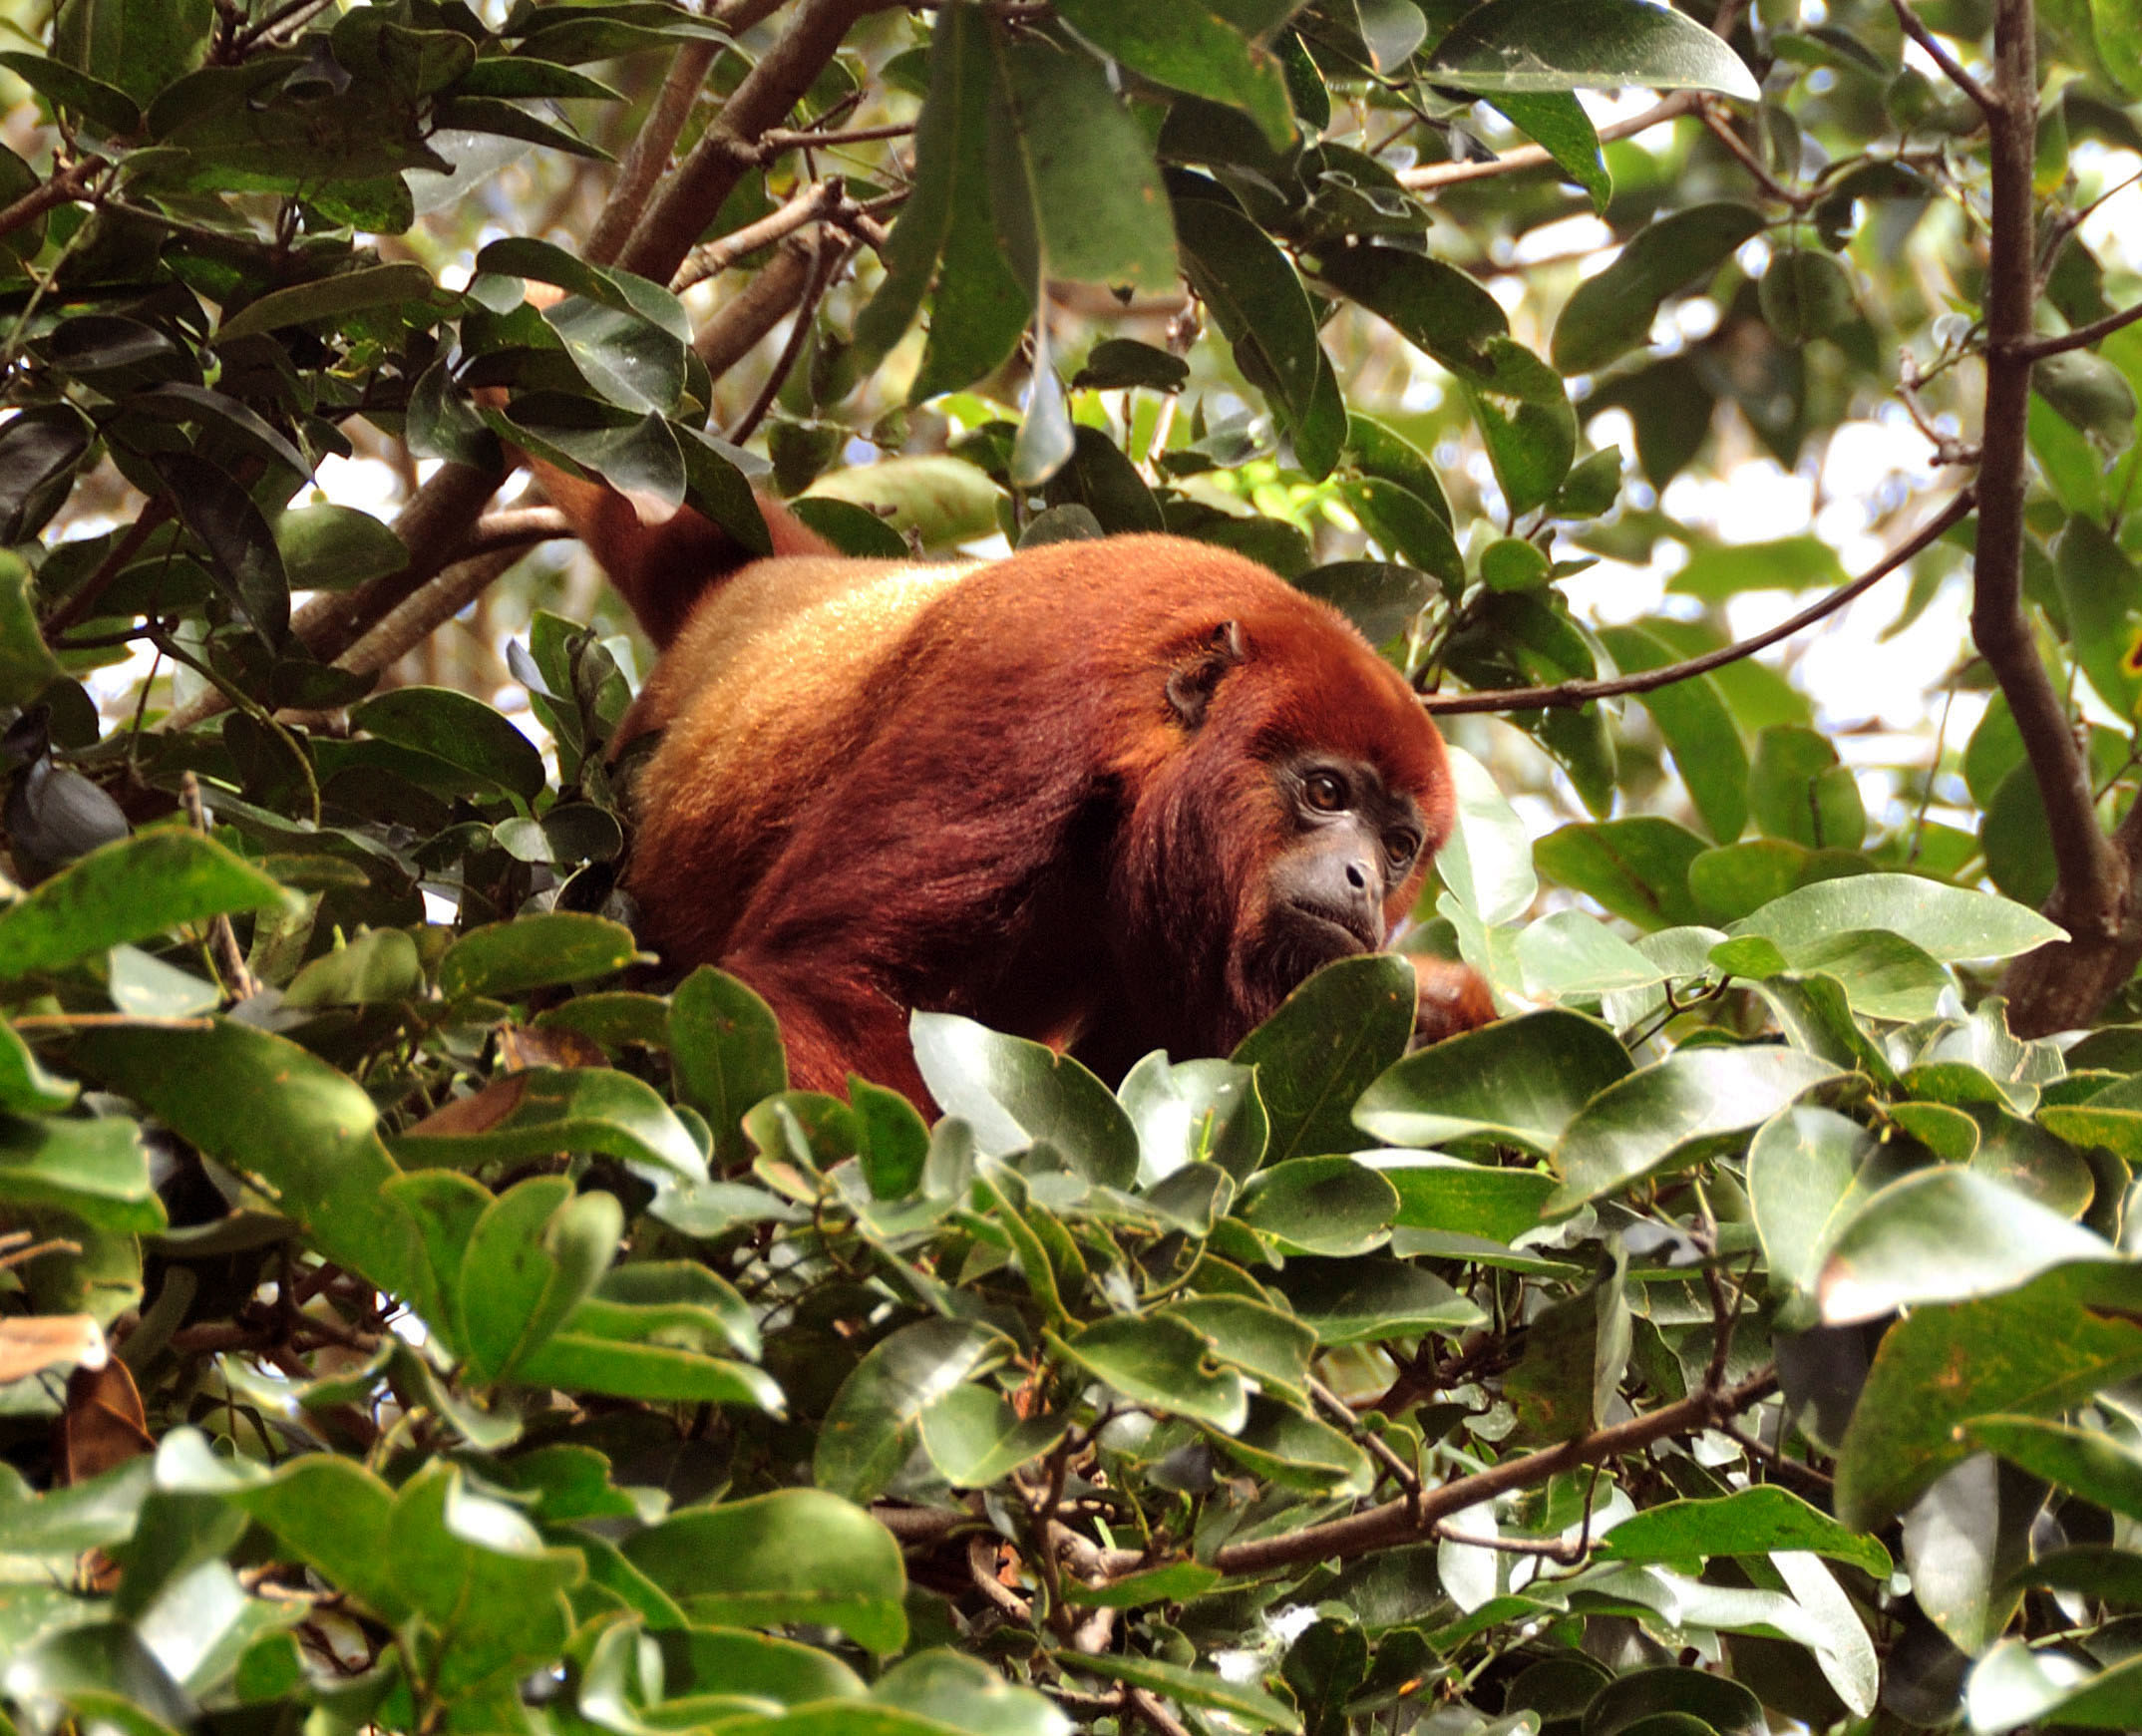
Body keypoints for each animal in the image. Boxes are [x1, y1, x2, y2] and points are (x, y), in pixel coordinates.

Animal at [524, 461, 1495, 1109]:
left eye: (1398, 845)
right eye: (1326, 792)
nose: (1363, 880)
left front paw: (1444, 1011)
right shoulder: (1028, 683)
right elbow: (818, 983)